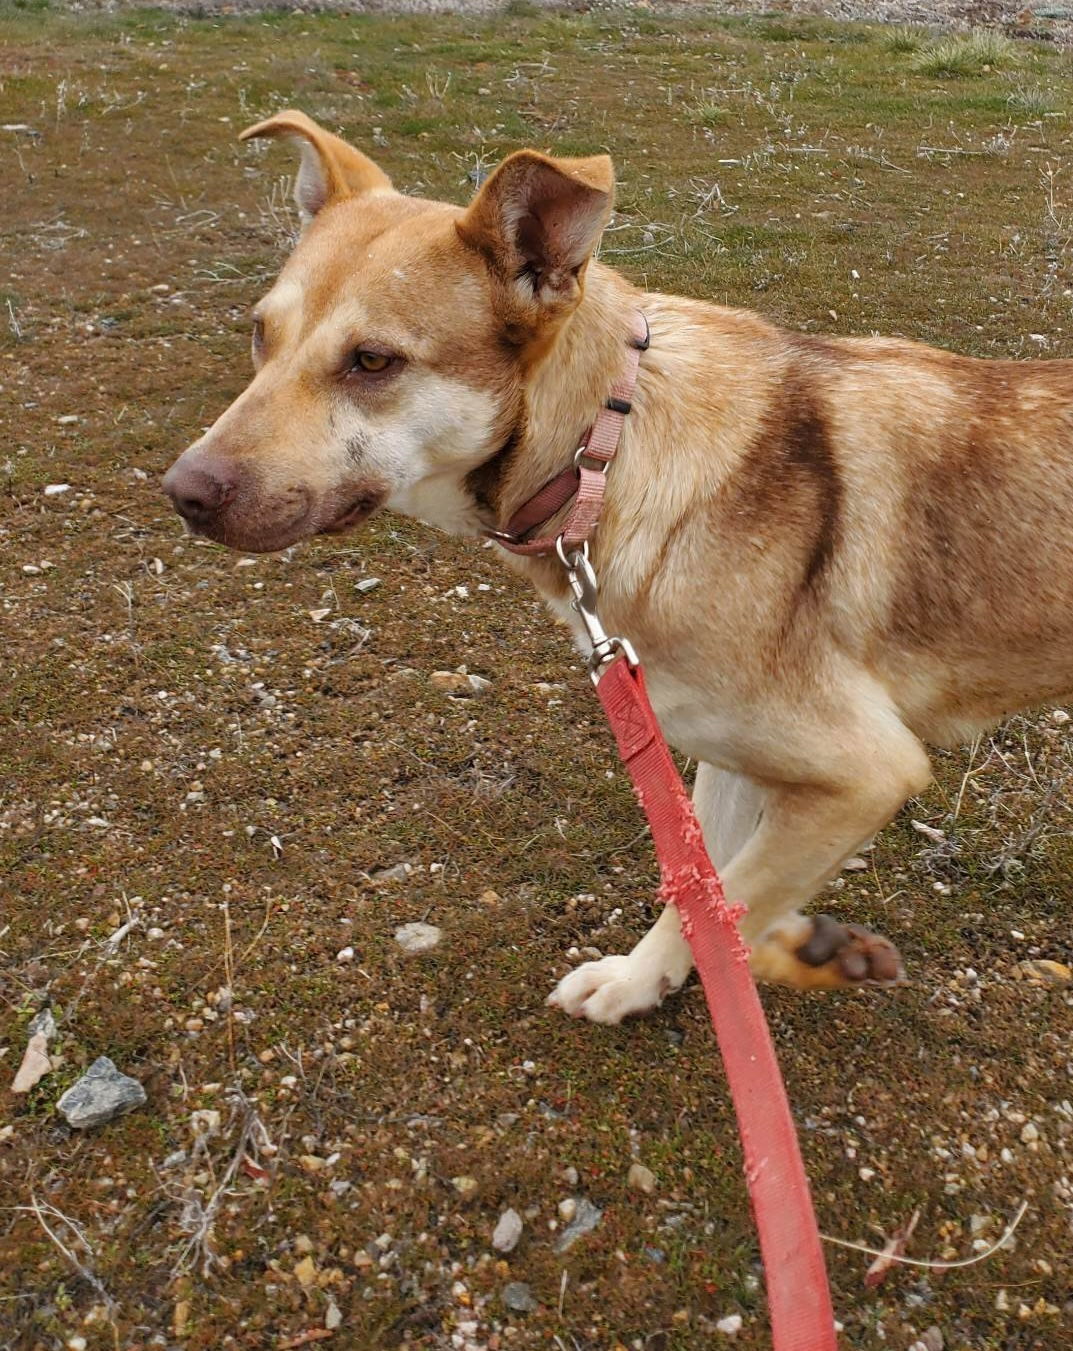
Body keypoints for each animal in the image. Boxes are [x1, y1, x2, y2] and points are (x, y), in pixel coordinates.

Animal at [162, 113, 1070, 1021]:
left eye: (373, 361)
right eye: (259, 331)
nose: (183, 491)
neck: (607, 455)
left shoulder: (865, 769)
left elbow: (729, 896)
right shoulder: (729, 752)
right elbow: (706, 890)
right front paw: (672, 975)